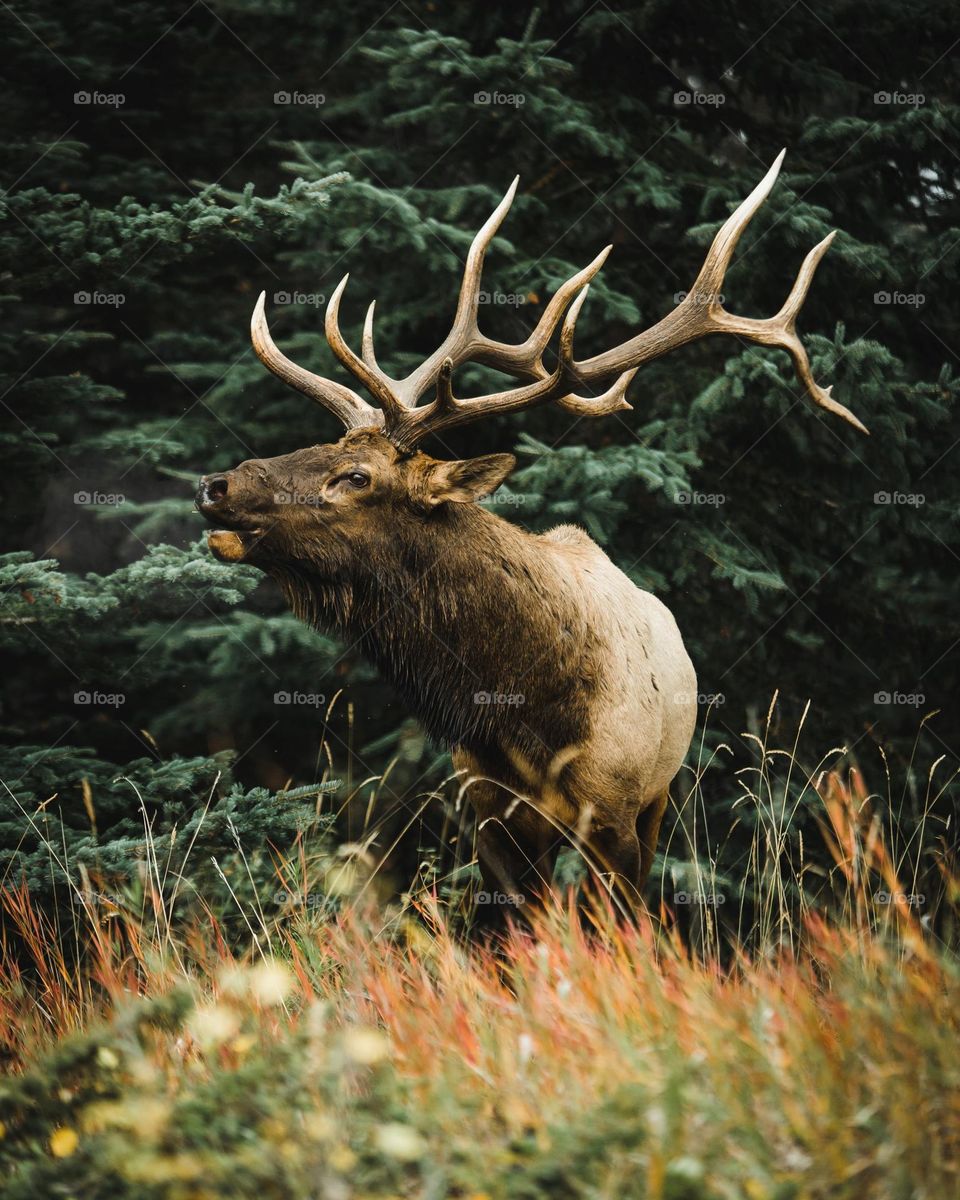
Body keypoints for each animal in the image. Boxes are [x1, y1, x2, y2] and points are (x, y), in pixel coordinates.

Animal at [196, 150, 865, 919]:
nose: (216, 485)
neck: (524, 711)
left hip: (662, 794)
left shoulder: (616, 810)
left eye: (357, 475)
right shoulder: (487, 811)